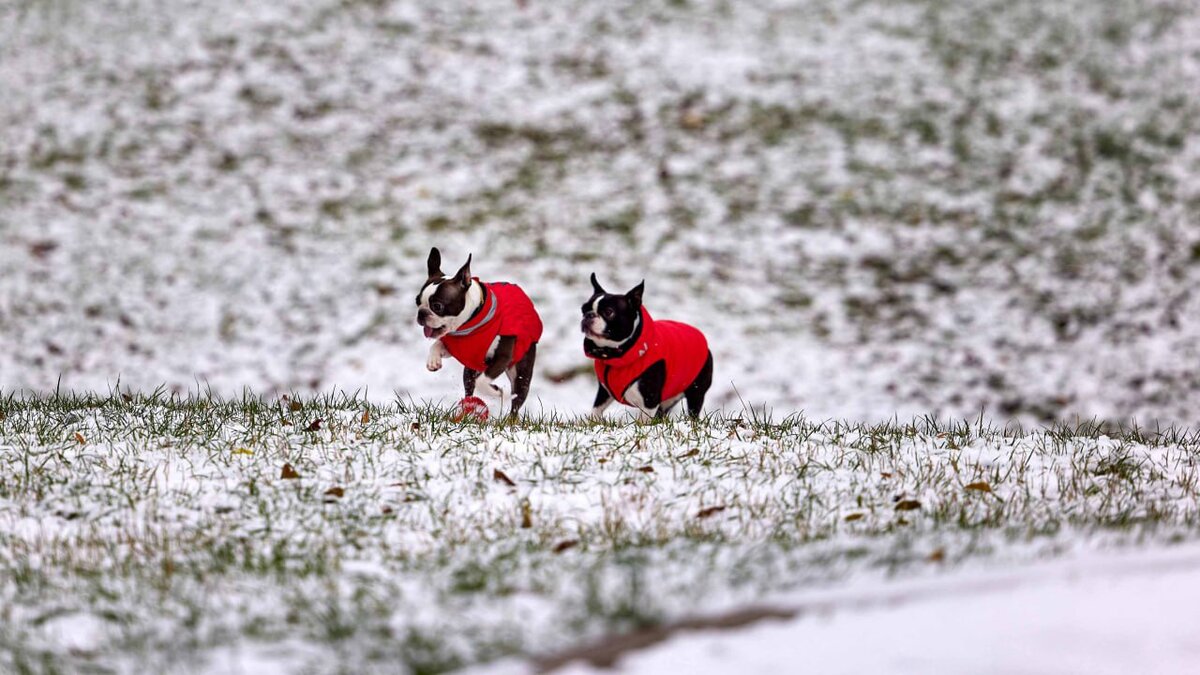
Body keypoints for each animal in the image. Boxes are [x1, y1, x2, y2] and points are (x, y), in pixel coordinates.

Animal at [415, 247, 542, 415]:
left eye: (437, 306)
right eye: (417, 301)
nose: (421, 313)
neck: (470, 323)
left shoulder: (503, 358)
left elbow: (482, 381)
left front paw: (495, 392)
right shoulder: (455, 348)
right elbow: (436, 344)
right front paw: (433, 361)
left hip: (521, 374)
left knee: (515, 403)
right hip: (469, 370)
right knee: (469, 388)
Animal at [580, 271, 710, 417]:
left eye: (609, 312)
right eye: (583, 309)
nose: (588, 315)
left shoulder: (650, 400)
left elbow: (644, 420)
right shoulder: (604, 392)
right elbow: (596, 410)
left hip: (696, 392)